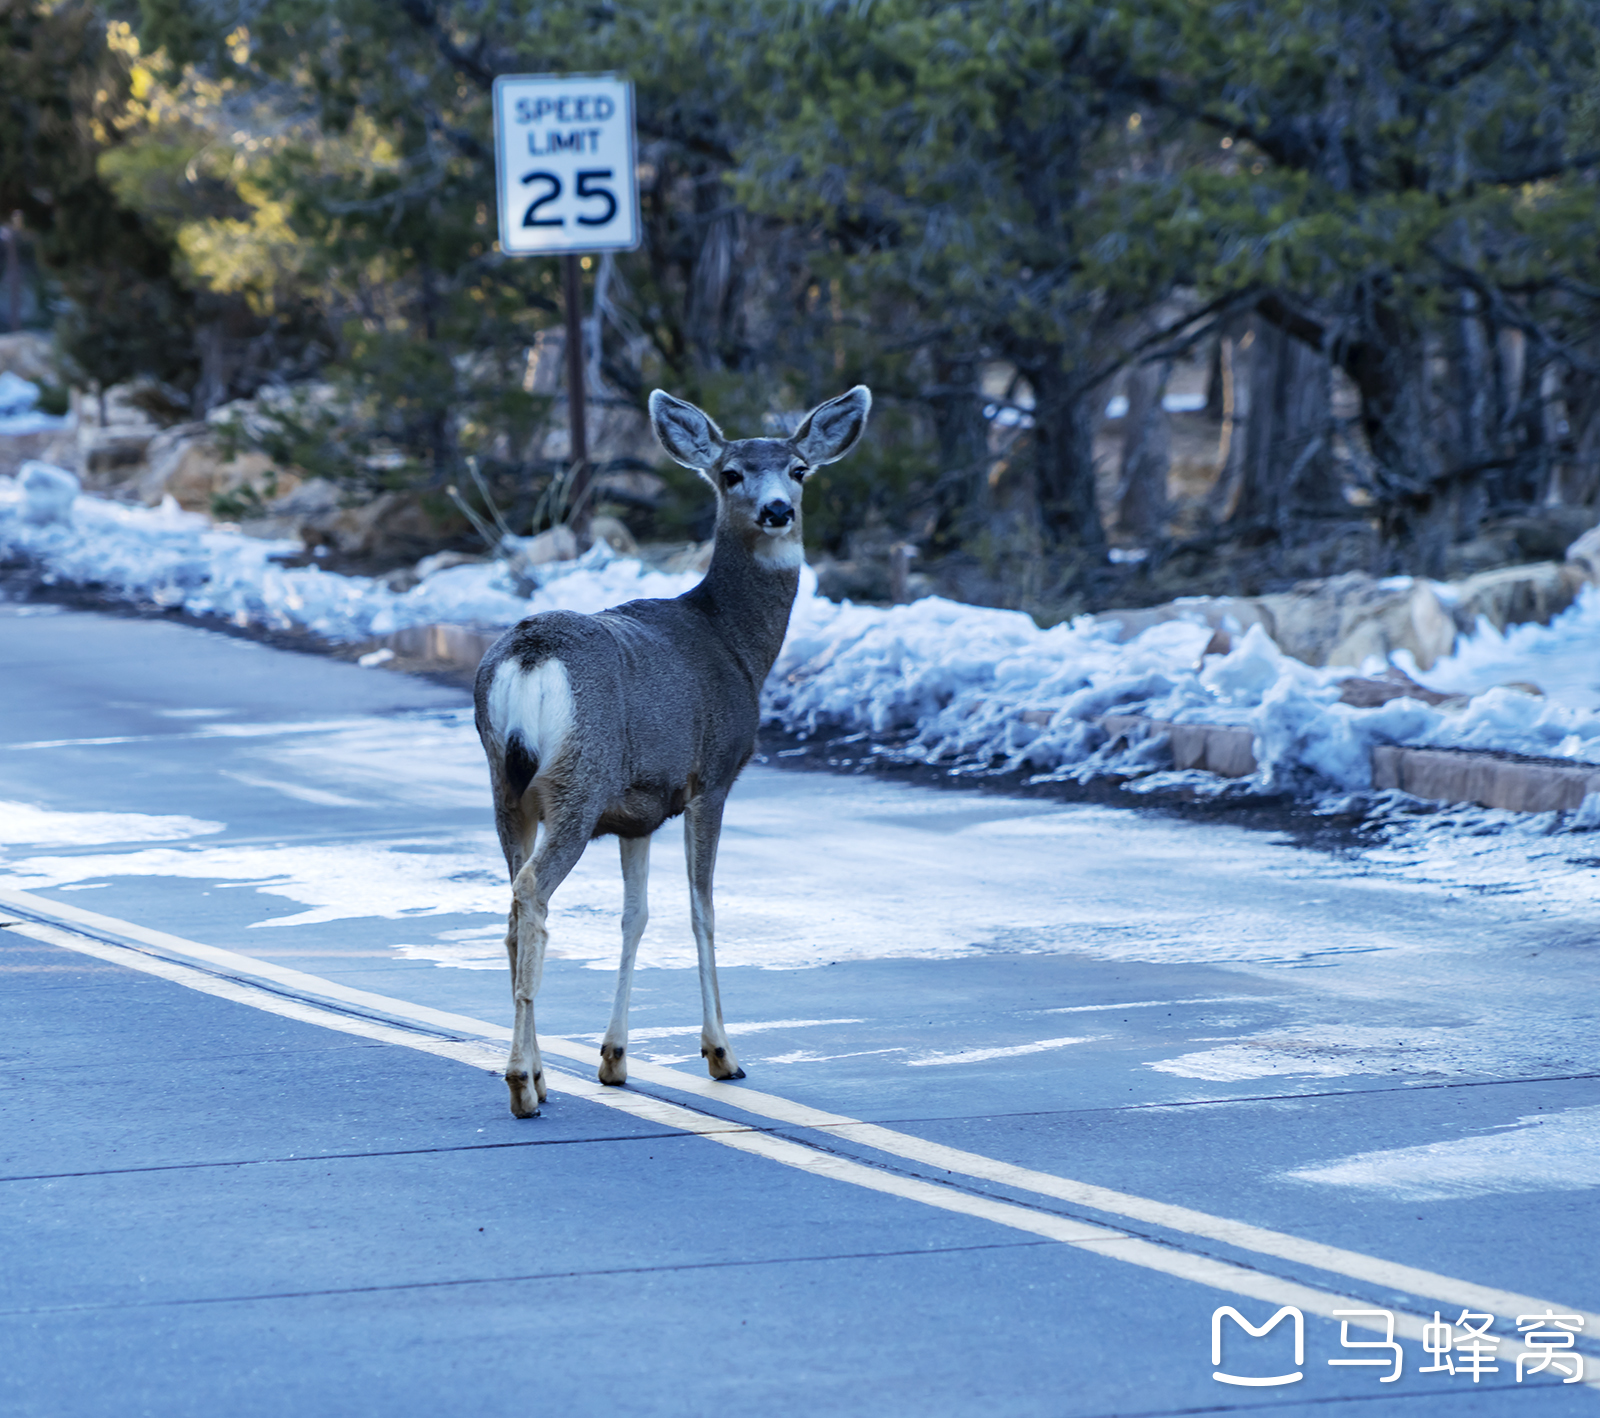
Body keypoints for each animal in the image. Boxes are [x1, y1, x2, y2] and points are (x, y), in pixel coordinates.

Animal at [473, 382, 876, 1113]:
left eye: (799, 469)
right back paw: (521, 1084)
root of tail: (529, 655)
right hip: (577, 781)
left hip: (504, 783)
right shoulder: (710, 779)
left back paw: (539, 1074)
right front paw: (722, 1052)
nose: (777, 510)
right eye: (731, 473)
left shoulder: (637, 811)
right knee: (533, 892)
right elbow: (702, 909)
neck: (734, 643)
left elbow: (635, 916)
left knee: (513, 906)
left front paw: (614, 1058)